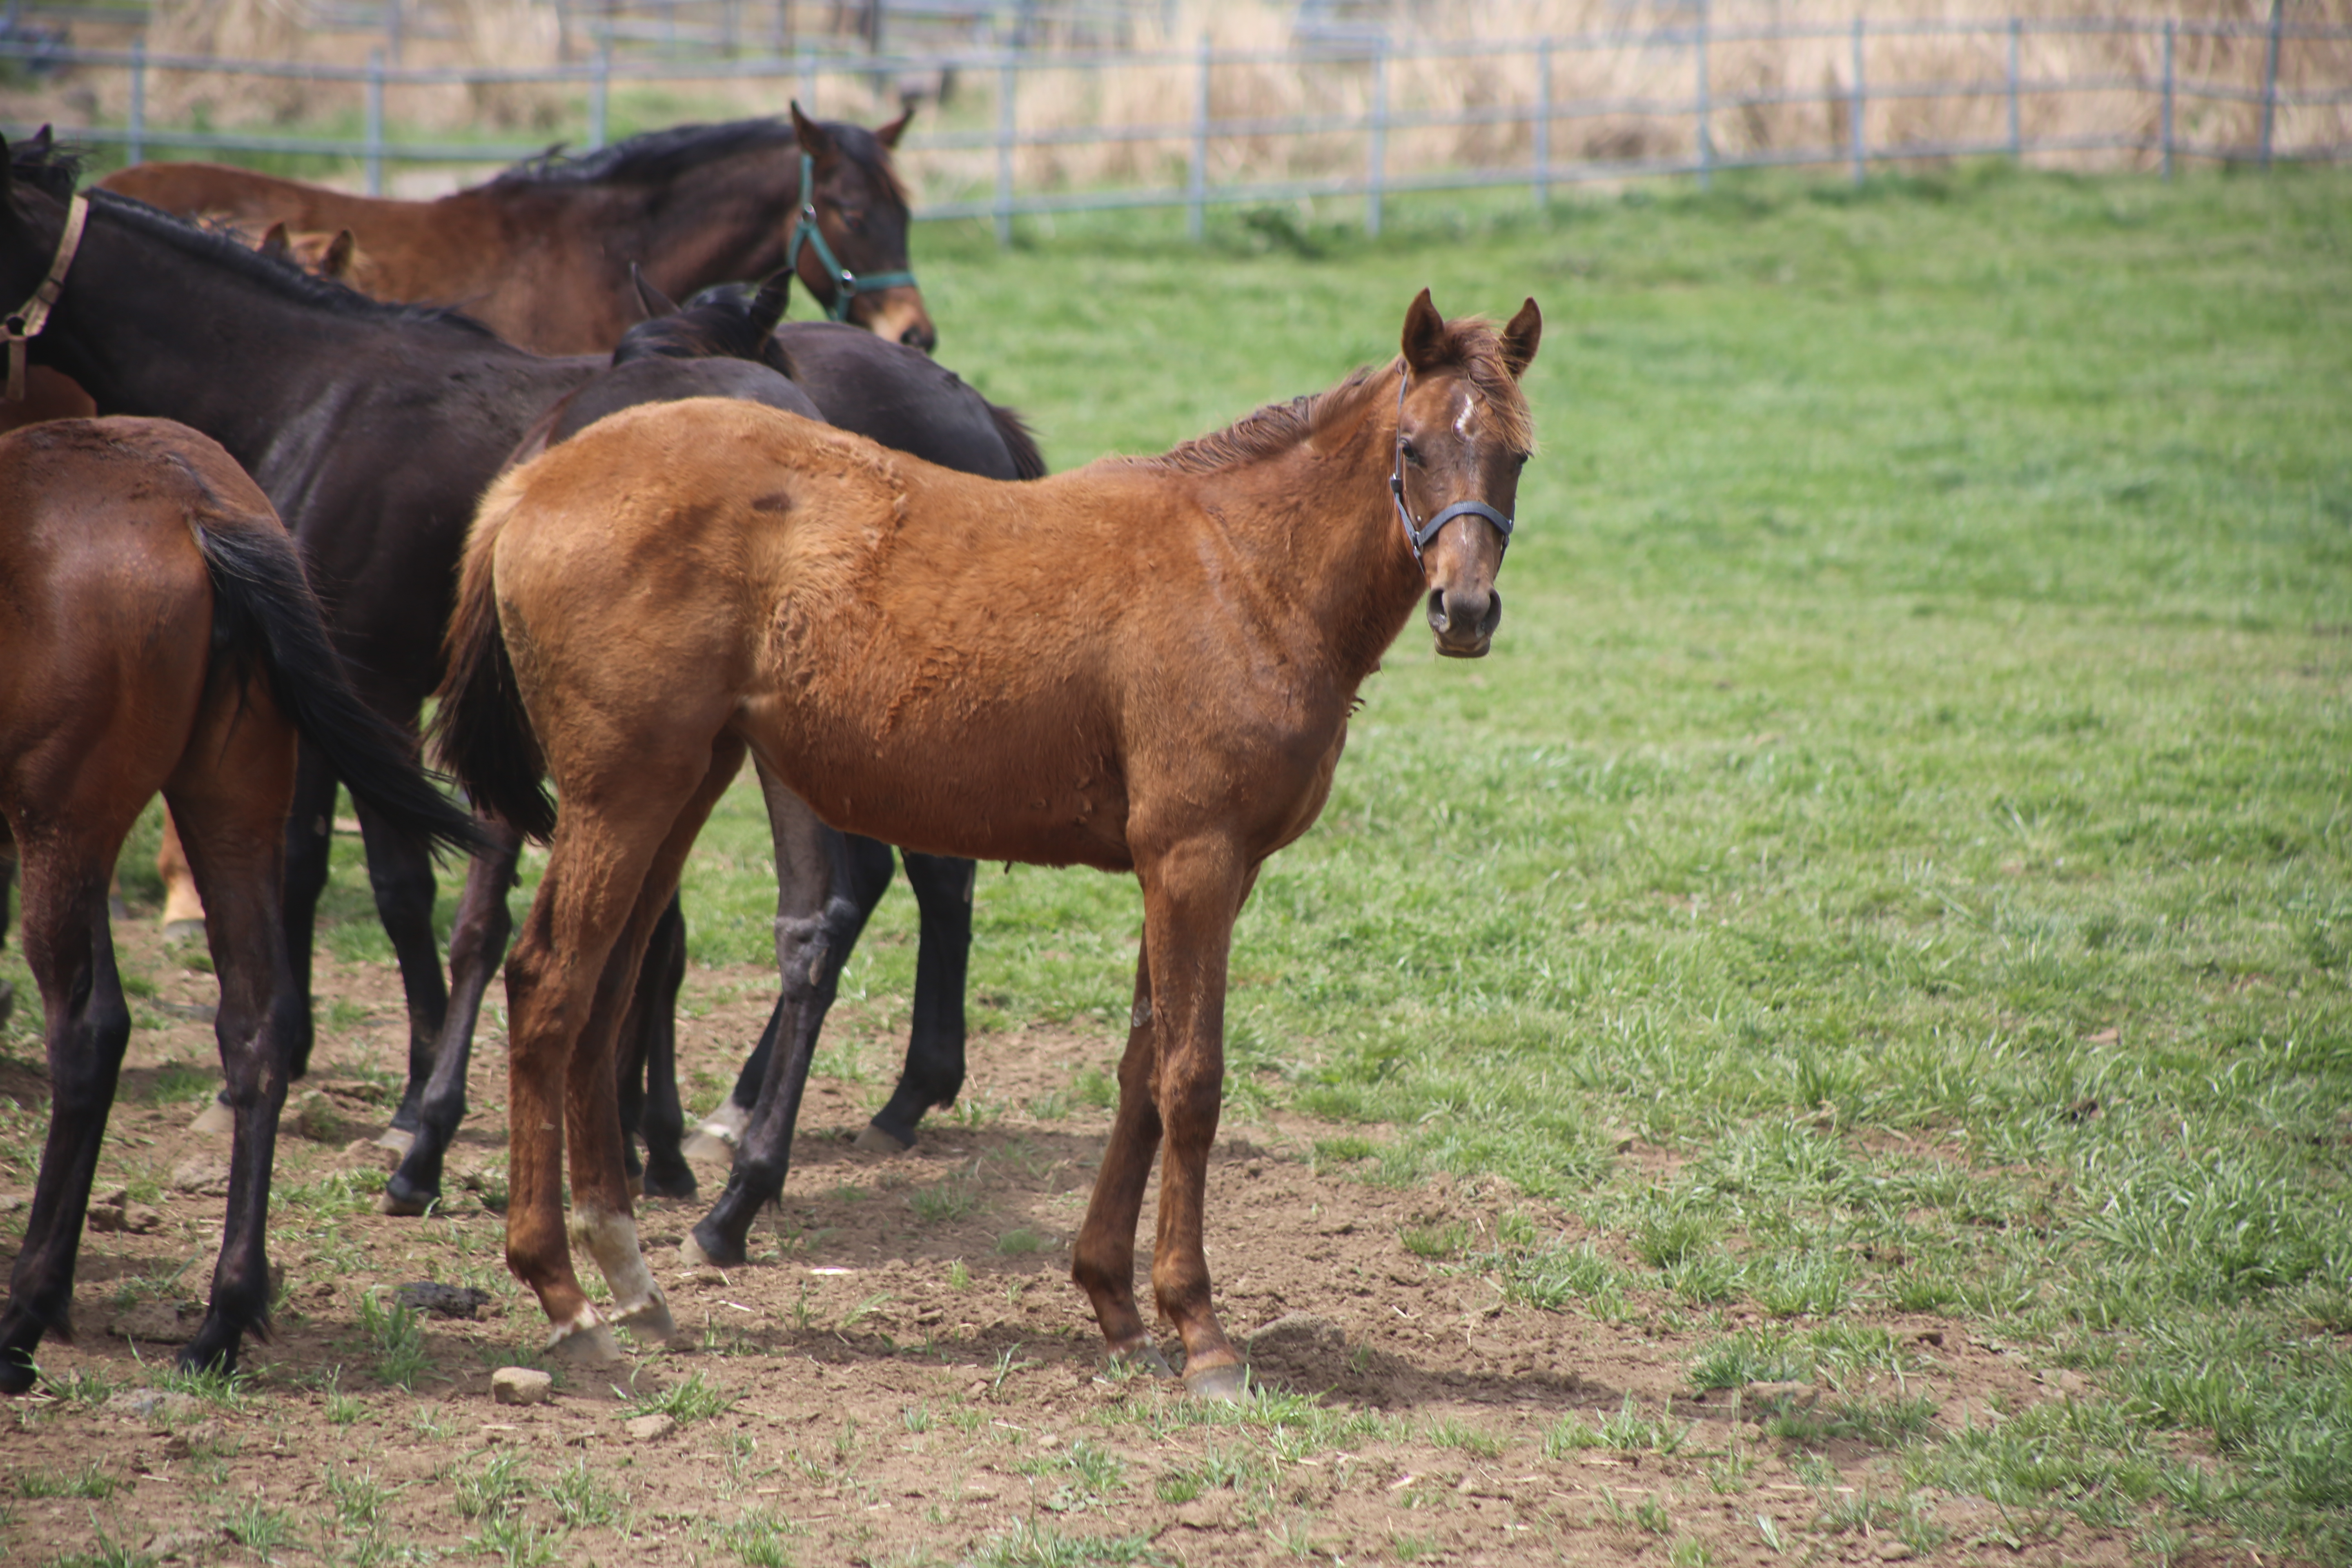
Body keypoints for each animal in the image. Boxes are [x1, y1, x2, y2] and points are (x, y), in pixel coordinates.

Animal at [1, 414, 482, 1382]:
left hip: (63, 826)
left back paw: (26, 1316)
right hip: (226, 802)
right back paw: (221, 1318)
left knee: (87, 1034)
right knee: (256, 1023)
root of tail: (196, 508)